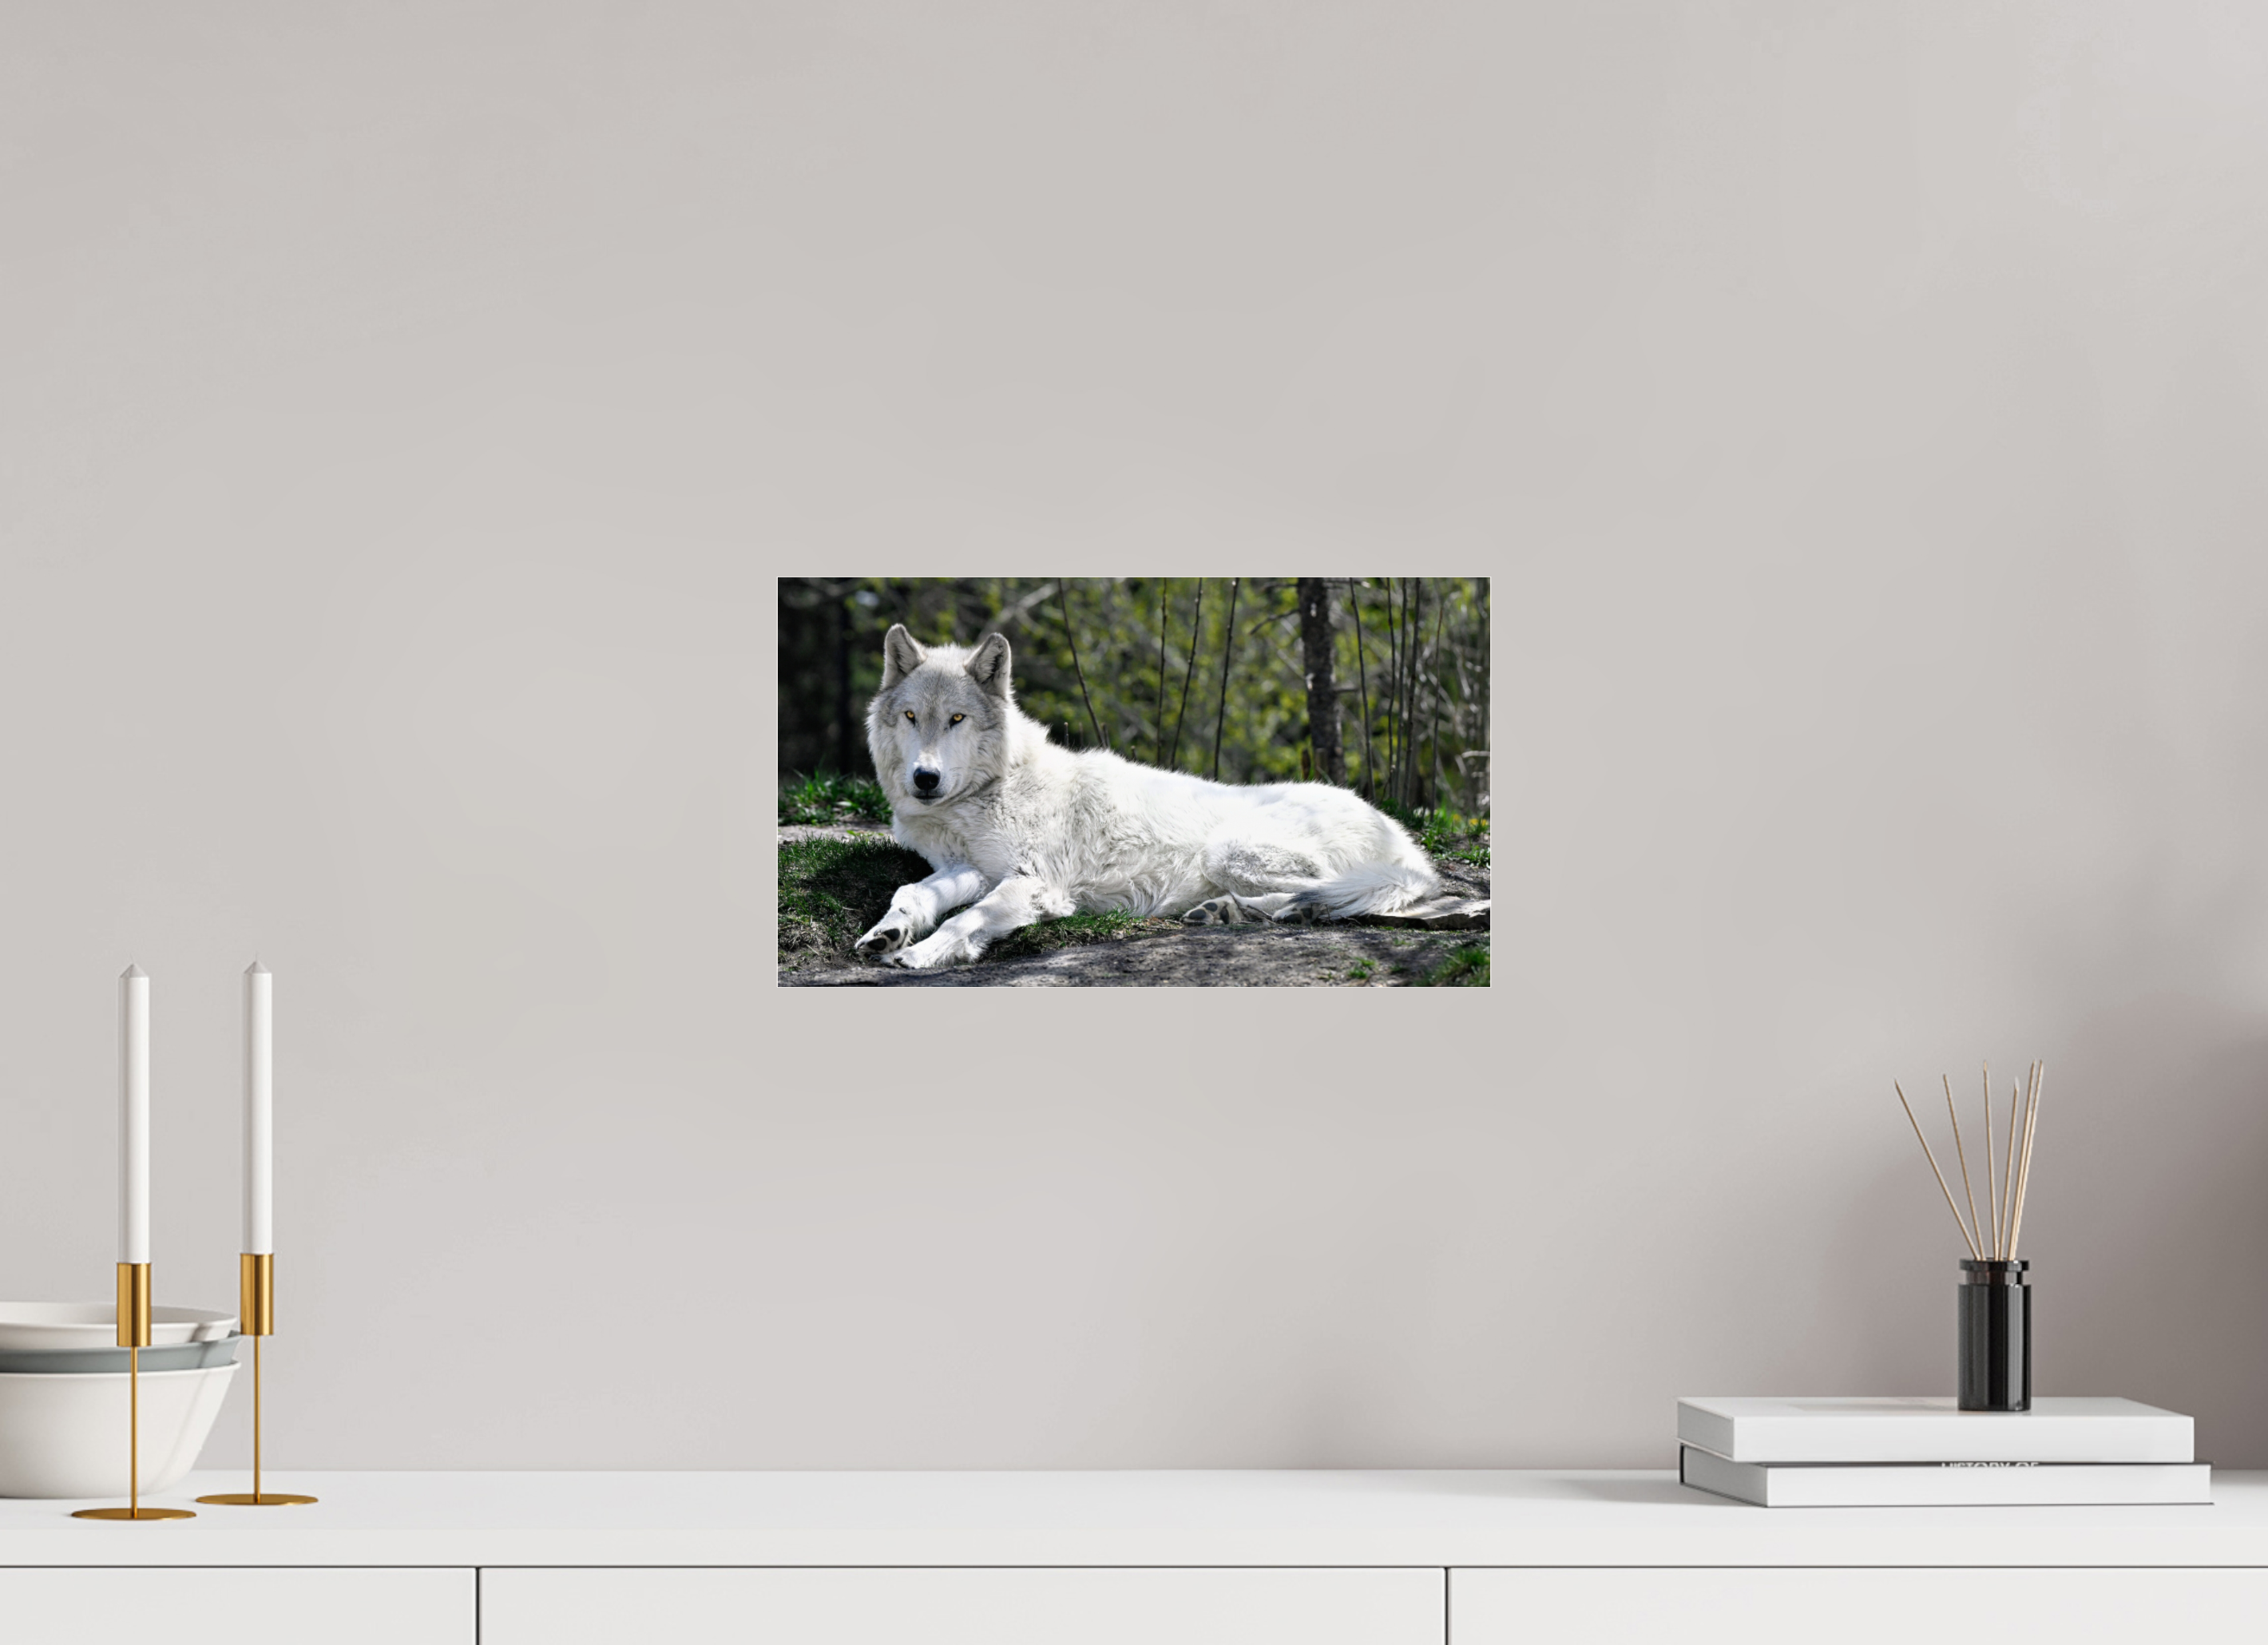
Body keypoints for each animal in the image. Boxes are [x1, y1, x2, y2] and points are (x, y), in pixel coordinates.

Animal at [851, 623, 1477, 970]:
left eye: (956, 719)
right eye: (912, 717)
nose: (924, 779)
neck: (992, 790)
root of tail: (1406, 842)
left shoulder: (1034, 883)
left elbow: (965, 921)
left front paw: (922, 953)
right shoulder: (972, 868)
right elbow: (913, 892)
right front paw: (887, 932)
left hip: (1231, 851)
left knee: (1337, 892)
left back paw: (1258, 909)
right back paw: (1228, 912)